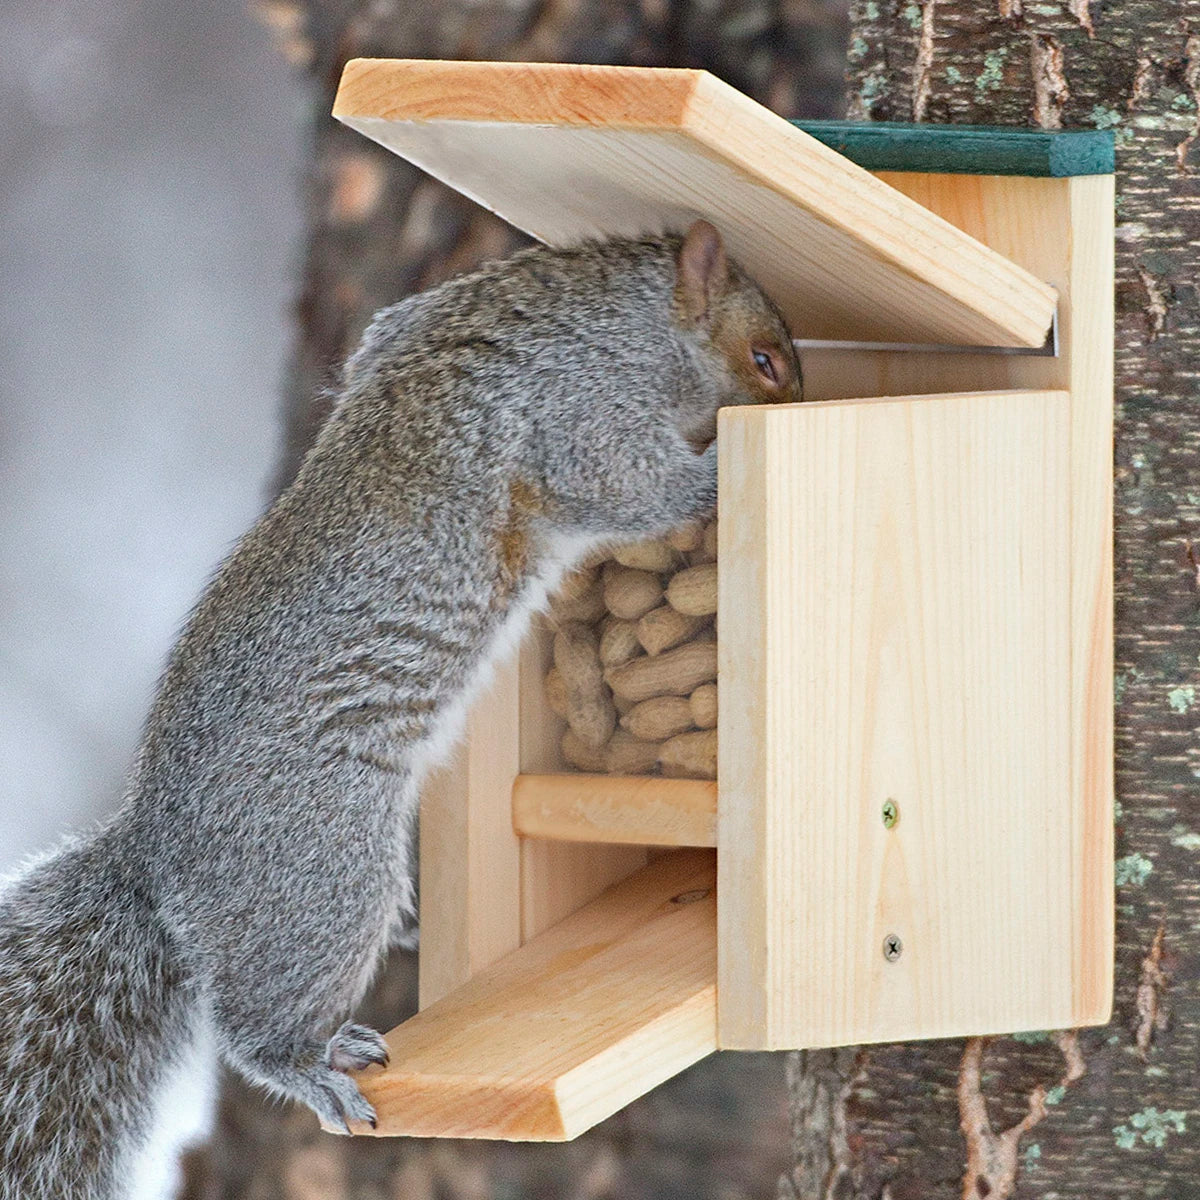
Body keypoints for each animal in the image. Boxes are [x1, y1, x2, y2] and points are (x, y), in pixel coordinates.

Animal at [2, 220, 806, 1195]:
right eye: (764, 358)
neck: (607, 315)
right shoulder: (582, 417)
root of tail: (156, 857)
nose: (808, 398)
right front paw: (718, 464)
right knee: (255, 1026)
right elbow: (634, 489)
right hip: (323, 873)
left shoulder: (405, 327)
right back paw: (307, 1064)